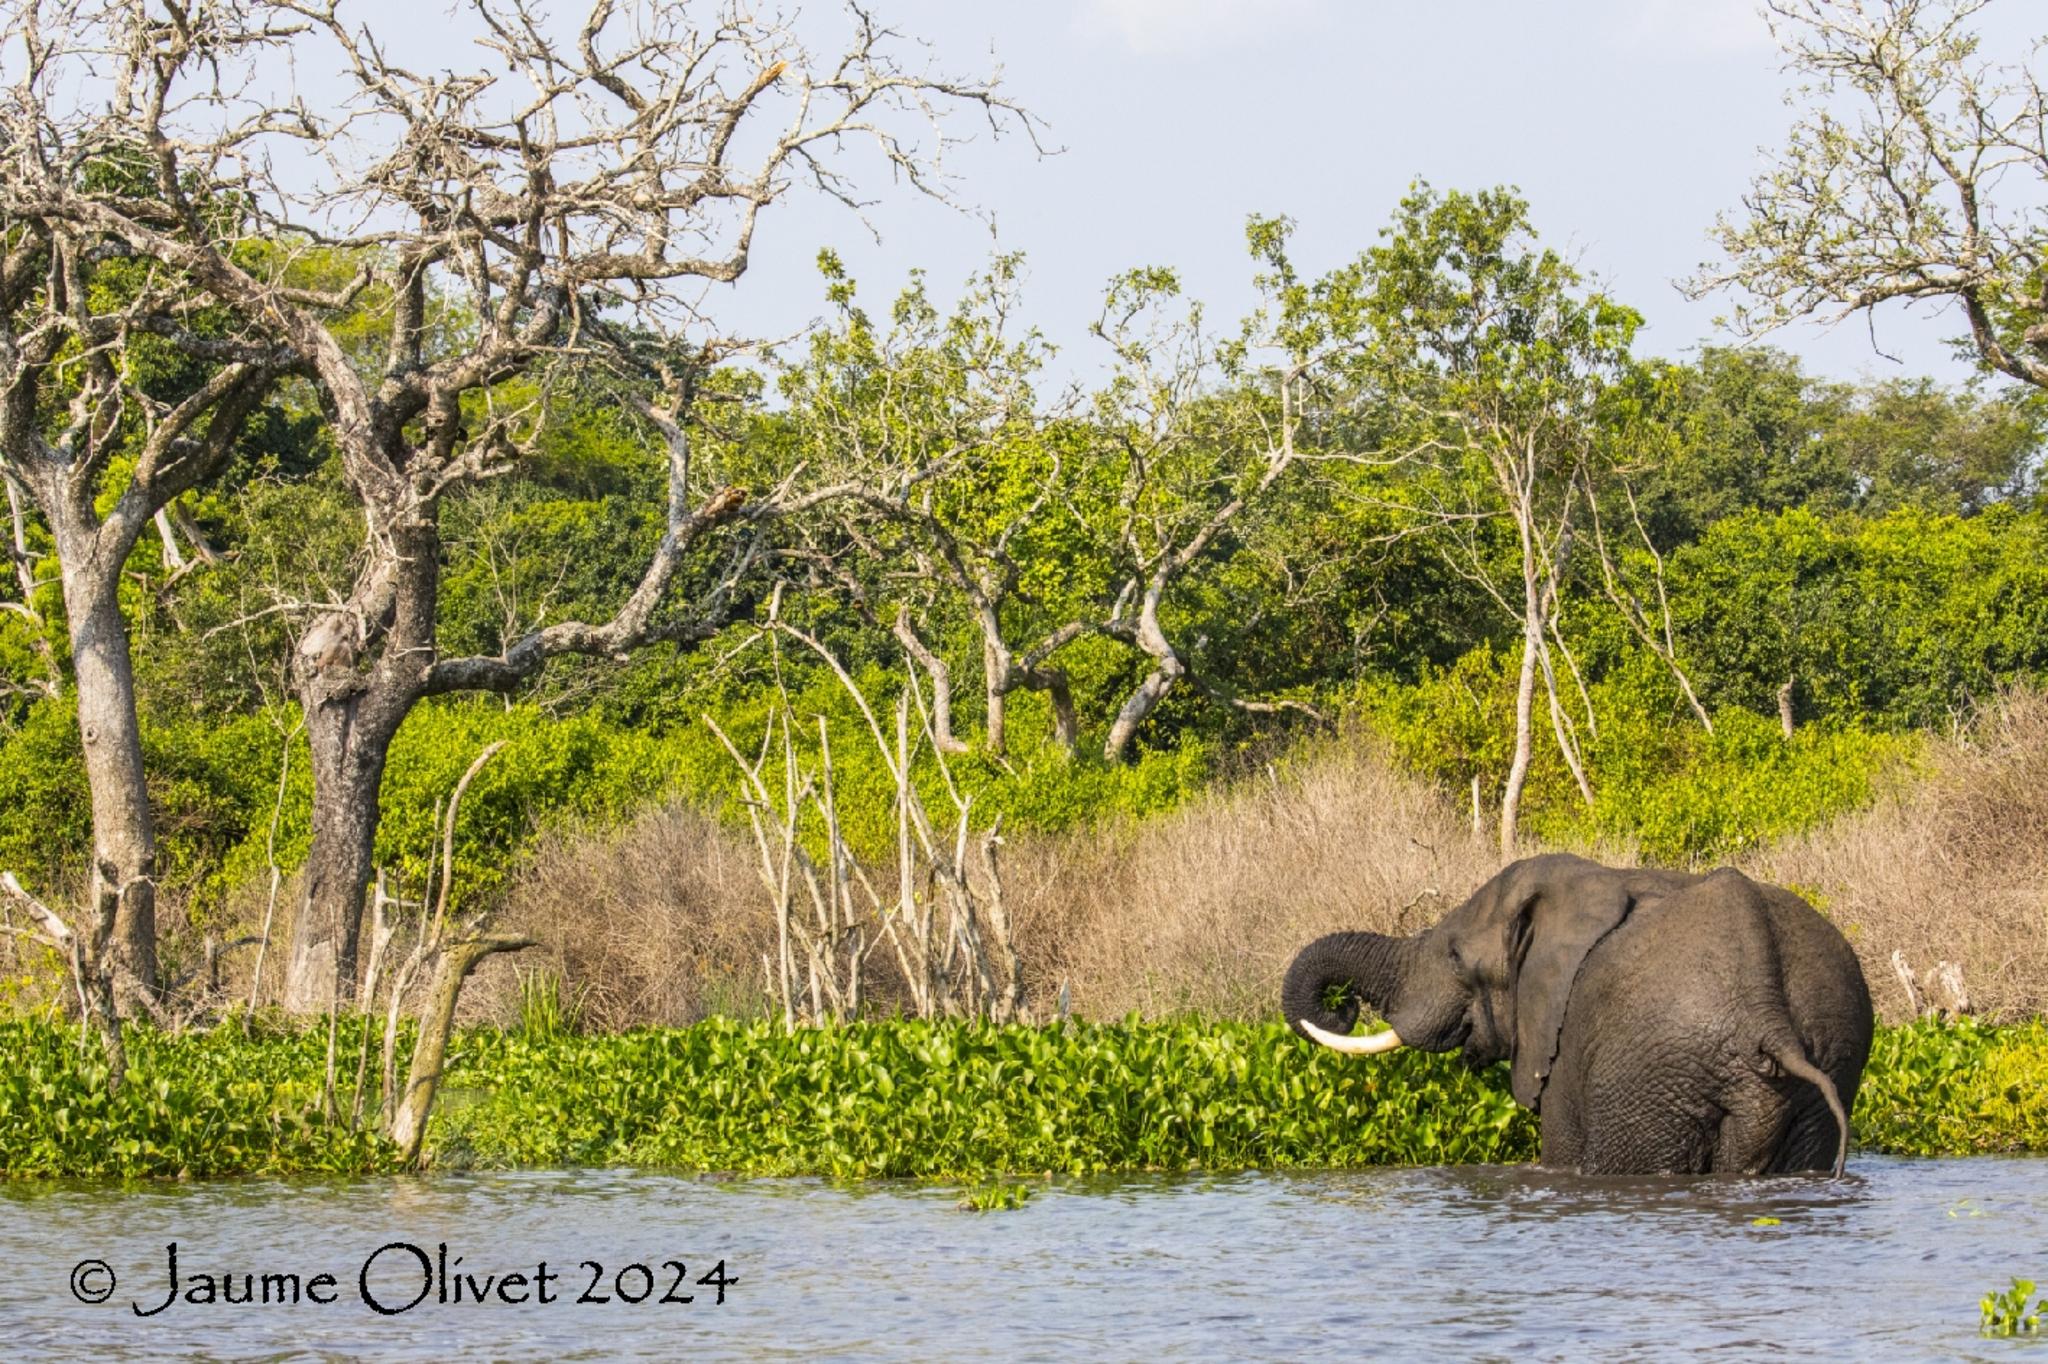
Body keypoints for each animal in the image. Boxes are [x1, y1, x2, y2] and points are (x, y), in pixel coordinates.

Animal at [1277, 851, 1875, 1171]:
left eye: (1454, 955)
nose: (1340, 1008)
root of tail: (1765, 1011)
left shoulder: (1566, 1046)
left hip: (1648, 1080)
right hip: (1826, 1061)